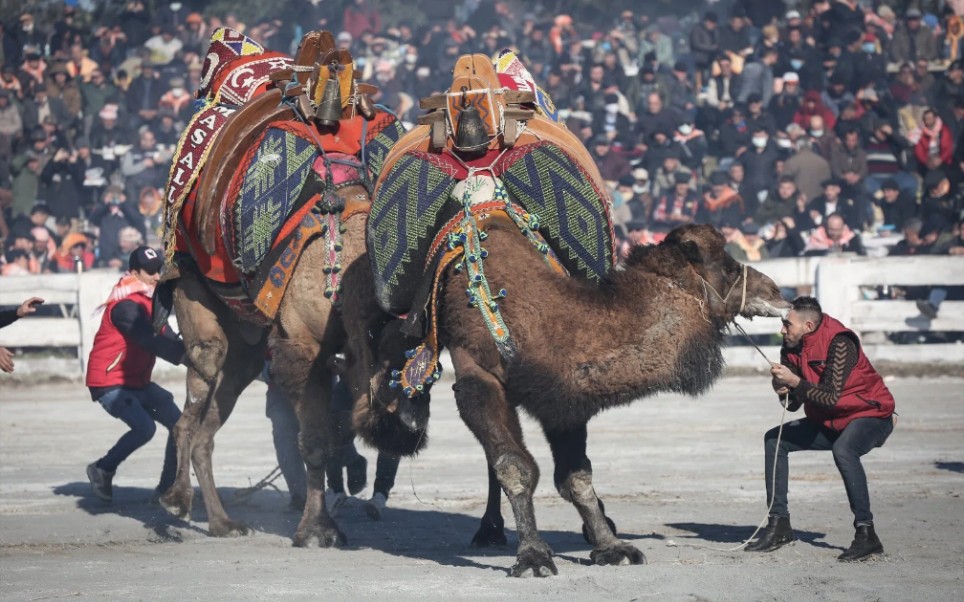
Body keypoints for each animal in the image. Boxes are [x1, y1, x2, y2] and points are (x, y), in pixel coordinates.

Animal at [362, 220, 792, 572]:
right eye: (729, 267)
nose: (779, 293)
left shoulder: (562, 400)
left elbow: (576, 476)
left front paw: (612, 546)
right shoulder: (477, 376)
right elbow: (516, 467)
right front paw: (533, 556)